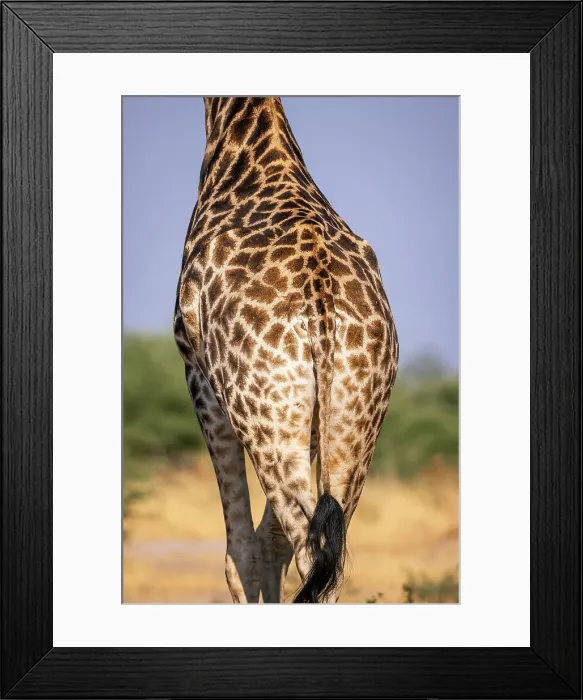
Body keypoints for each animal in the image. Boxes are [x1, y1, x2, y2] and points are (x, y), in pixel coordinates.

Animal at [174, 97, 398, 603]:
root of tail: (321, 299)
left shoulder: (199, 376)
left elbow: (241, 550)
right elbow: (268, 541)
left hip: (265, 420)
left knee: (306, 554)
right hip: (354, 422)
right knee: (327, 559)